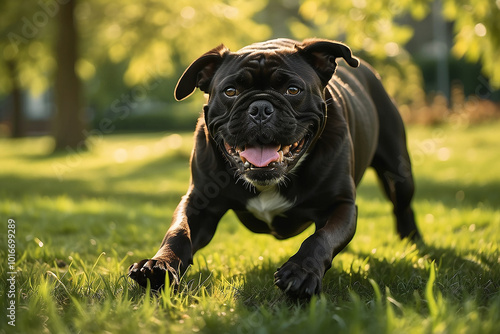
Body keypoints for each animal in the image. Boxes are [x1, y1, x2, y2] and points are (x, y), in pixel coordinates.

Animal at [128, 37, 418, 298]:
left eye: (293, 90)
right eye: (230, 91)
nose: (260, 107)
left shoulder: (340, 206)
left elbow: (320, 239)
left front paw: (301, 272)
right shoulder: (199, 204)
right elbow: (179, 233)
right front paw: (159, 265)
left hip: (400, 174)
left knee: (402, 205)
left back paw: (413, 244)